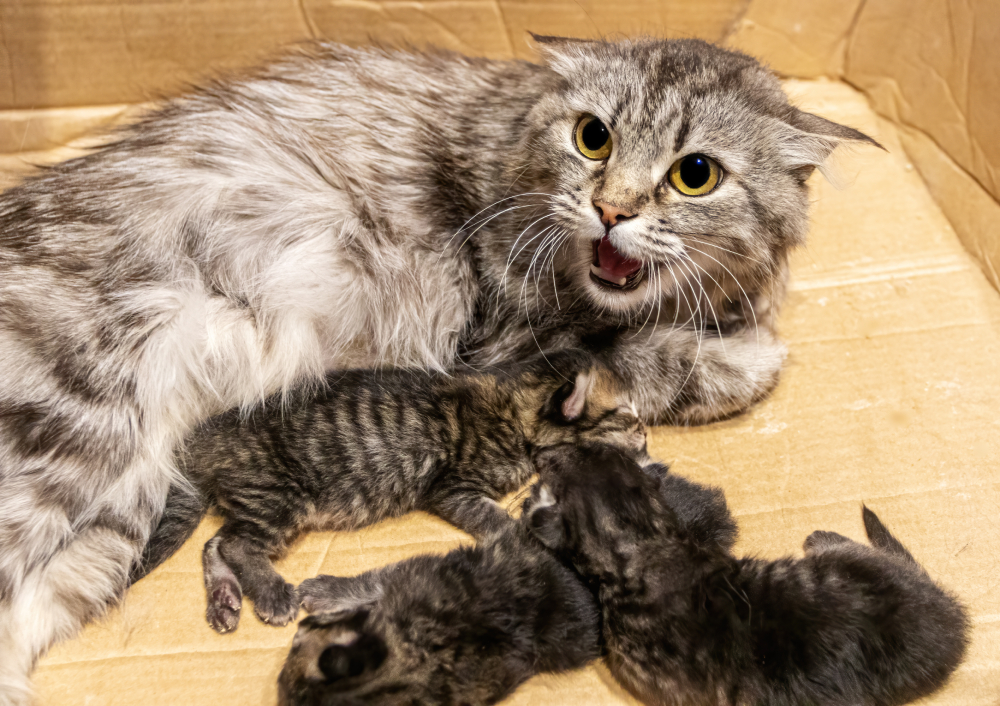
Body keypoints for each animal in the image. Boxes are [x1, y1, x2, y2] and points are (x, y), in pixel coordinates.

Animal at [139, 354, 640, 628]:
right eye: (627, 416)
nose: (646, 438)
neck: (516, 409)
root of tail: (200, 437)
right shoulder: (453, 489)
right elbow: (499, 520)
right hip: (279, 496)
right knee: (237, 544)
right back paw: (271, 593)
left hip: (258, 500)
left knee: (215, 542)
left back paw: (225, 600)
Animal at [524, 446, 968, 704]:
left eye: (563, 459)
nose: (542, 450)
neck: (644, 545)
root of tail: (950, 616)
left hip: (848, 561)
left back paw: (820, 535)